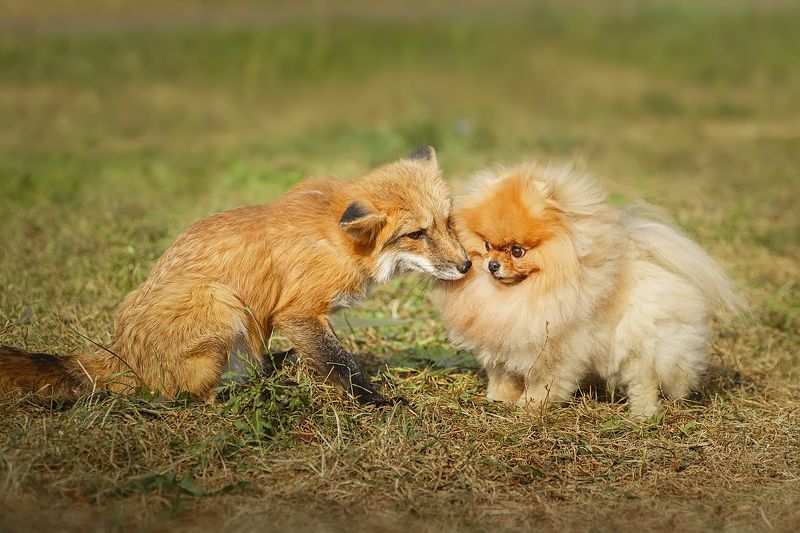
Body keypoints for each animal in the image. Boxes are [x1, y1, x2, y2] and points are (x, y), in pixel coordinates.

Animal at [0, 146, 471, 406]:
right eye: (416, 234)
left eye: (448, 222)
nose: (467, 265)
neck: (341, 241)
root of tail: (121, 352)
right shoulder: (298, 312)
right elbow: (342, 364)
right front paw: (377, 401)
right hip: (221, 303)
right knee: (192, 396)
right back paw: (255, 391)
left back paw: (276, 368)